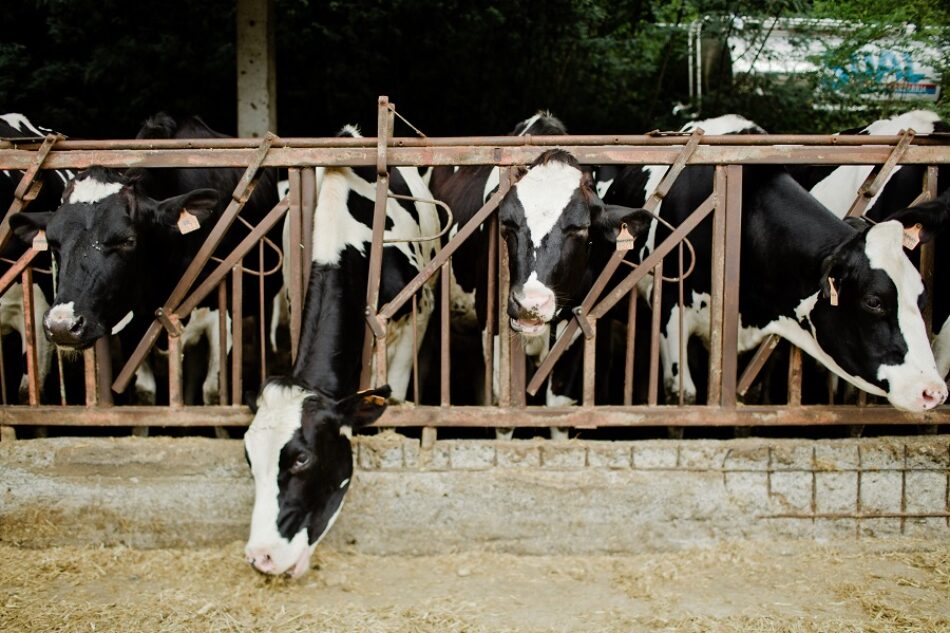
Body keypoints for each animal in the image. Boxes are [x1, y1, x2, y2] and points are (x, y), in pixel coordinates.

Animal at [9, 111, 280, 402]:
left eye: (128, 240)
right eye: (53, 243)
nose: (61, 325)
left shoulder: (221, 314)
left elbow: (214, 391)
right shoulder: (131, 321)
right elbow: (144, 391)